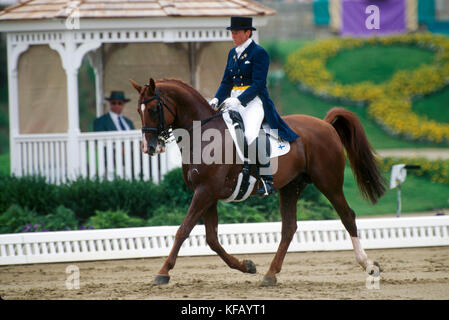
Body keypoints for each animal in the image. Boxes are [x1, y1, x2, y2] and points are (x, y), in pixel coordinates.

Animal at [130, 78, 384, 288]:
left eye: (153, 109)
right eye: (138, 110)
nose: (149, 147)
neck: (203, 135)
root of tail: (326, 125)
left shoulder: (205, 192)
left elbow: (183, 230)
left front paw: (163, 272)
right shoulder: (206, 194)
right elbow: (211, 239)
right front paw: (247, 266)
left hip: (329, 183)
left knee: (347, 216)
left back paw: (369, 265)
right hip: (291, 187)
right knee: (289, 228)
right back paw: (270, 274)